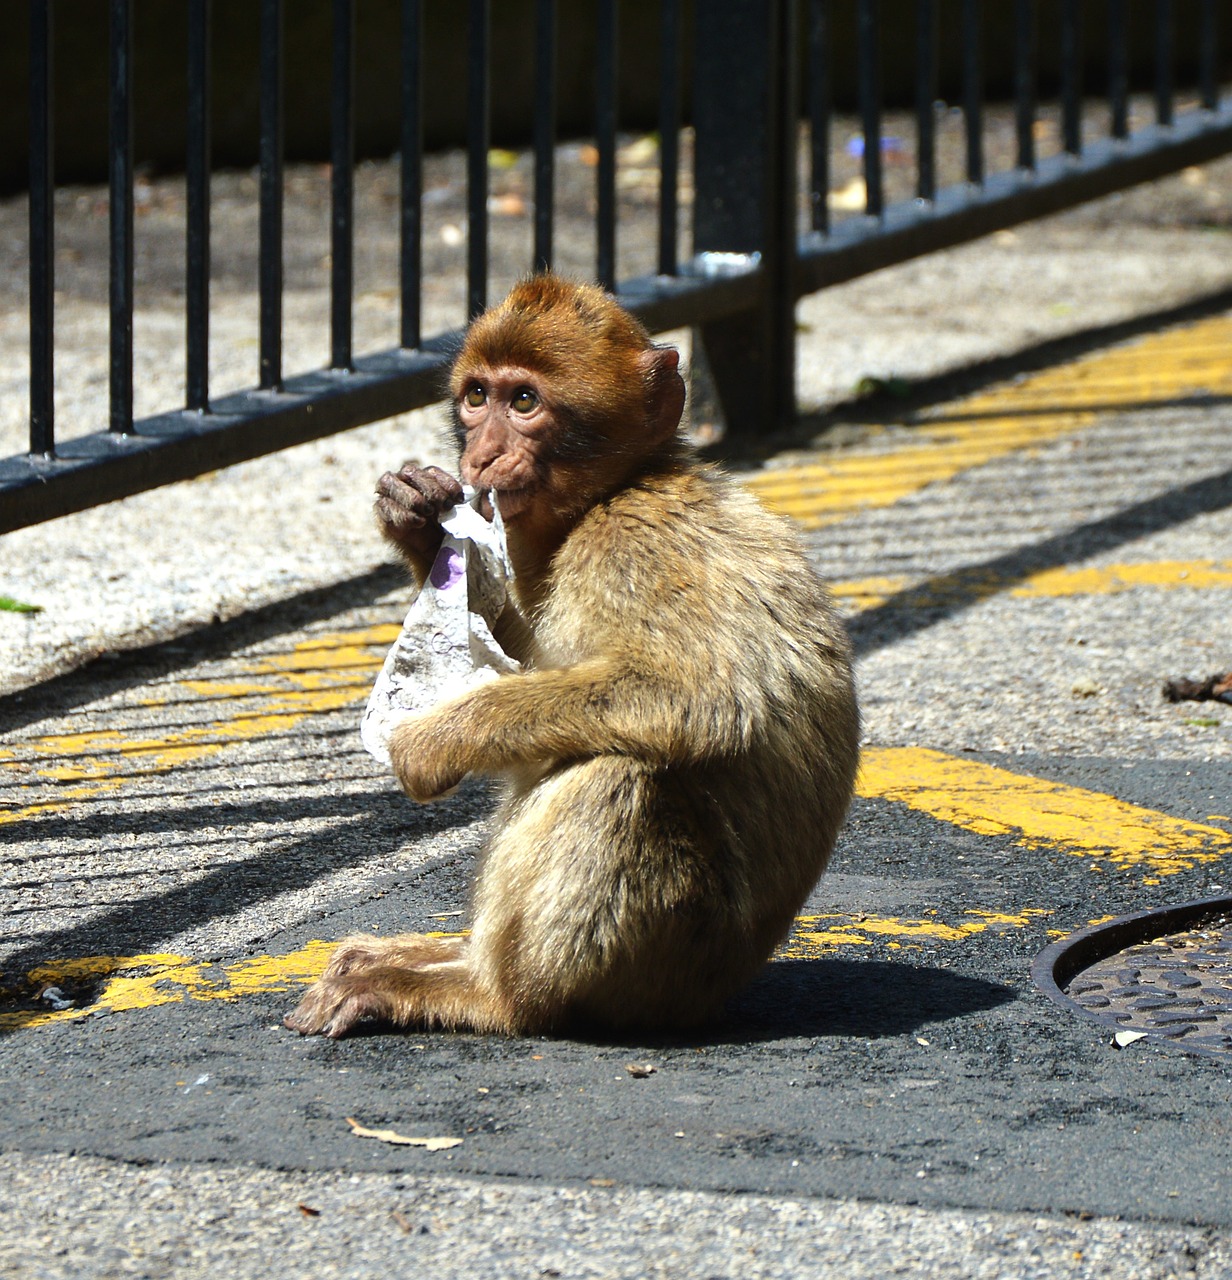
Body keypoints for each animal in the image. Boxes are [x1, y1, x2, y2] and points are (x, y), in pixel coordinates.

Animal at [285, 273, 860, 1040]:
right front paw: (419, 522)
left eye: (525, 402)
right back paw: (443, 959)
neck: (615, 490)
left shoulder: (634, 544)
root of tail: (716, 997)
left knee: (622, 771)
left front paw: (429, 741)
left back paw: (491, 996)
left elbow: (703, 700)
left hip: (658, 973)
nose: (481, 455)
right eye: (478, 396)